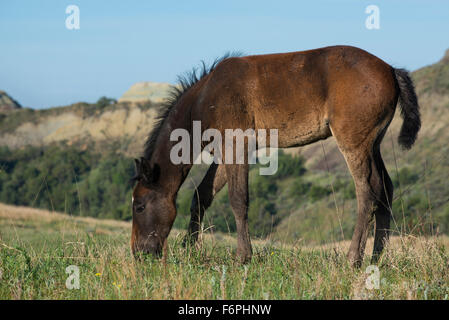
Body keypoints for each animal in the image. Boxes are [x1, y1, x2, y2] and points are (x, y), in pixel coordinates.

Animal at [130, 44, 420, 264]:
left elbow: (238, 200)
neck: (205, 99)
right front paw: (190, 250)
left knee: (367, 193)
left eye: (139, 205)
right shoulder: (226, 151)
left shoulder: (237, 145)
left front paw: (243, 257)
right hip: (374, 144)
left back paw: (353, 259)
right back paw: (376, 258)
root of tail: (391, 70)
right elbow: (201, 196)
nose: (138, 253)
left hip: (354, 142)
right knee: (385, 189)